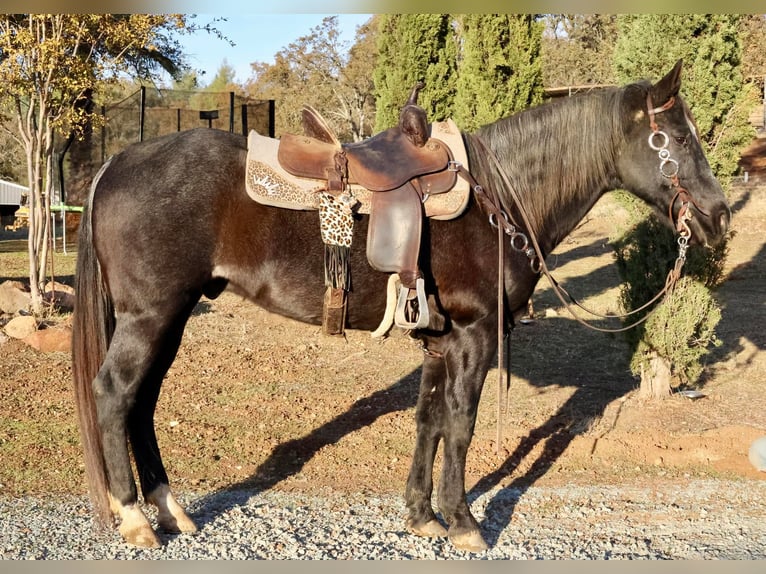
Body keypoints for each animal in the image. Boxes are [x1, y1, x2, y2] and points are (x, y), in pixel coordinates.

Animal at [71, 60, 730, 552]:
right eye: (674, 139)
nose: (720, 216)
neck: (500, 197)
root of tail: (118, 162)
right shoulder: (473, 335)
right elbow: (460, 424)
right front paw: (463, 522)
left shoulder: (439, 340)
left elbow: (428, 421)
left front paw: (421, 514)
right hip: (151, 315)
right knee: (115, 395)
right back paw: (134, 518)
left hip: (171, 316)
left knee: (142, 403)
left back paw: (170, 511)